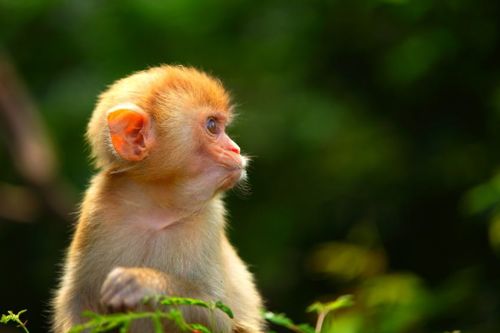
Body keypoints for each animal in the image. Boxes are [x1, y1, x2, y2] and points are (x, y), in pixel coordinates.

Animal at [51, 65, 266, 332]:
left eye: (220, 126)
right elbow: (78, 301)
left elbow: (220, 318)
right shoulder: (96, 209)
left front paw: (146, 283)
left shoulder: (209, 219)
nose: (235, 149)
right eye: (212, 126)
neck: (157, 208)